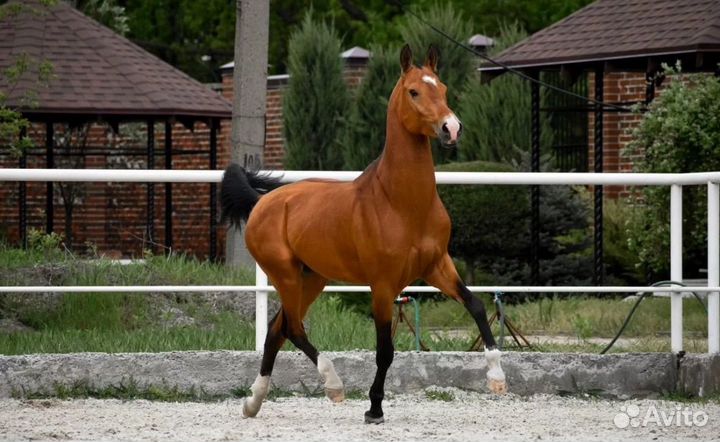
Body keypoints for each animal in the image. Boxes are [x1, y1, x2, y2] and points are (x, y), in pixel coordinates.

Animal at [219, 45, 506, 424]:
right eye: (414, 91)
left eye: (442, 88)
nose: (452, 128)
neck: (401, 203)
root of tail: (262, 201)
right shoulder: (383, 285)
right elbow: (384, 350)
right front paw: (374, 408)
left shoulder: (437, 267)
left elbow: (475, 304)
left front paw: (497, 377)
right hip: (285, 275)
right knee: (293, 328)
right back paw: (333, 385)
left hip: (311, 278)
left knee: (276, 331)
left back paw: (253, 402)